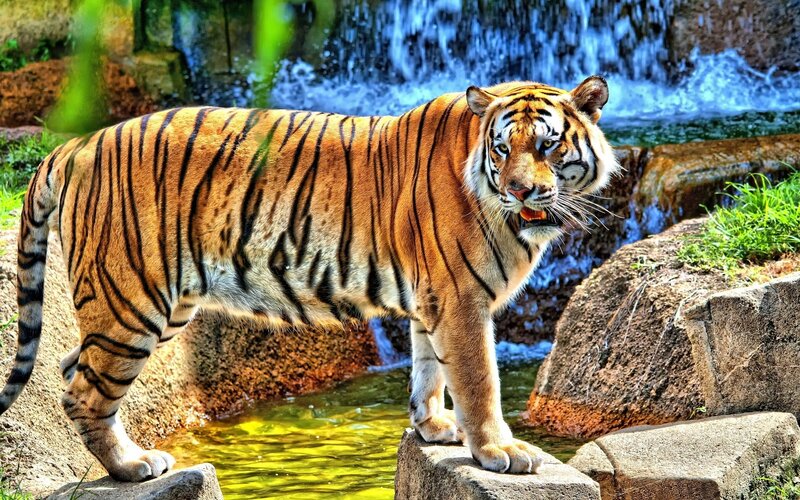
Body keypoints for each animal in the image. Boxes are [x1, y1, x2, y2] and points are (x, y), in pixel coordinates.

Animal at [0, 76, 618, 481]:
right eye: (502, 147)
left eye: (548, 146)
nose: (519, 189)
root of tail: (77, 143)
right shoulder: (460, 299)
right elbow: (478, 379)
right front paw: (498, 451)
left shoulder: (433, 298)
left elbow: (427, 368)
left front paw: (434, 427)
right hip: (132, 301)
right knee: (84, 392)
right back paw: (133, 466)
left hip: (153, 305)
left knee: (70, 366)